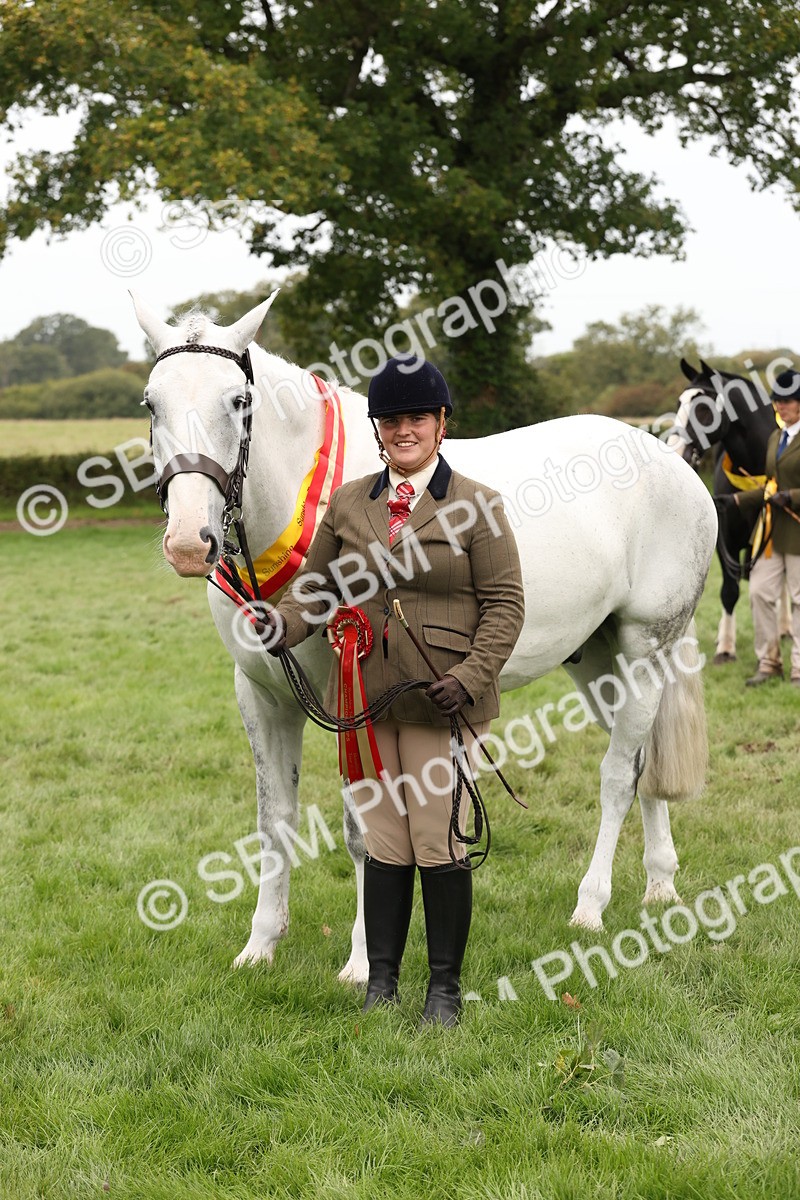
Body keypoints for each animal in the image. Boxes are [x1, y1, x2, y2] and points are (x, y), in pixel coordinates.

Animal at [131, 291, 717, 977]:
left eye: (238, 402)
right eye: (152, 403)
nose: (188, 542)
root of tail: (671, 463)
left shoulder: (352, 697)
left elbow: (363, 828)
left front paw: (362, 962)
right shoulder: (263, 695)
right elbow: (274, 820)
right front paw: (261, 945)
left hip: (646, 649)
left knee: (620, 775)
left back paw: (591, 906)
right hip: (599, 661)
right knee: (644, 762)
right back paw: (660, 883)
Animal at [670, 358, 789, 664]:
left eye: (703, 408)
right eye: (679, 402)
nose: (676, 450)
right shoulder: (727, 542)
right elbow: (730, 591)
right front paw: (725, 646)